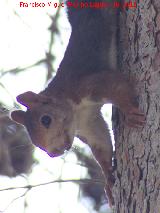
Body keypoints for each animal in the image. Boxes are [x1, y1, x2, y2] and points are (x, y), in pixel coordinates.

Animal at [10, 0, 145, 206]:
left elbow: (117, 86)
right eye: (36, 144)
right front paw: (108, 177)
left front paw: (131, 113)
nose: (55, 152)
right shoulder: (88, 124)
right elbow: (101, 144)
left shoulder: (88, 85)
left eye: (46, 120)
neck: (75, 111)